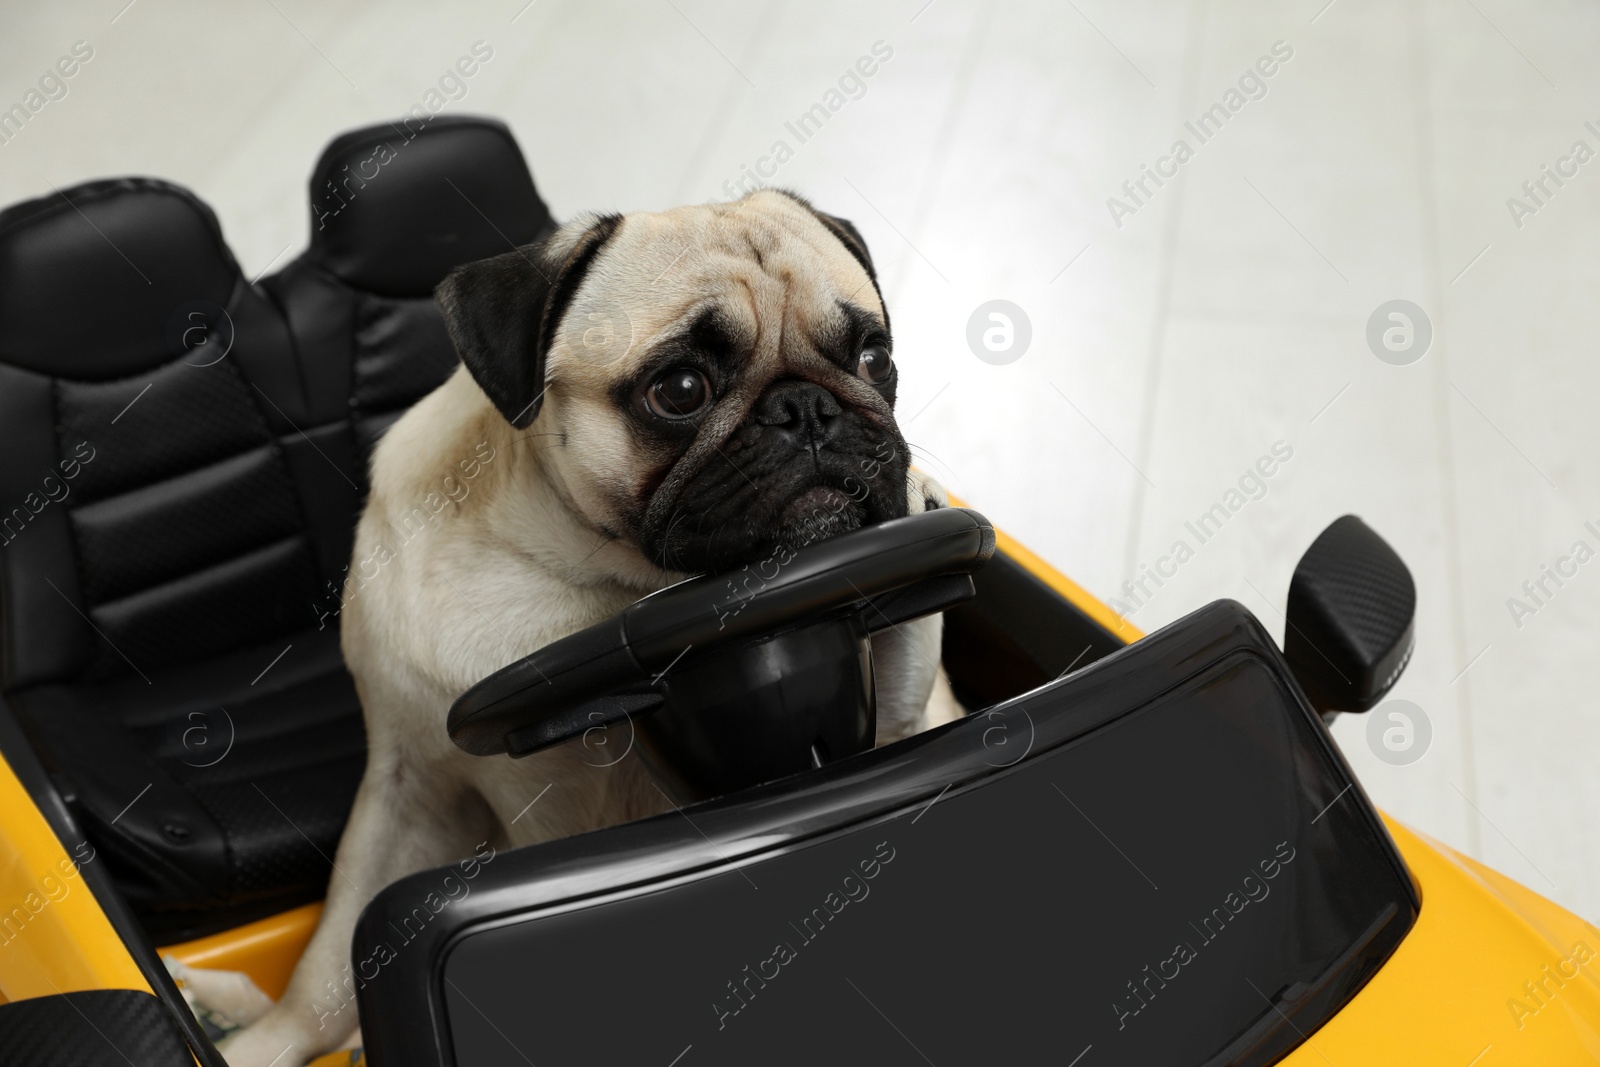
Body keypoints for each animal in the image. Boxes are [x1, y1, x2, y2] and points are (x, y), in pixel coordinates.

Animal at [217, 187, 953, 1062]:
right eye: (680, 389)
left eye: (875, 357)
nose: (808, 406)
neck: (589, 579)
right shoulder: (410, 787)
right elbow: (329, 966)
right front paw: (259, 1045)